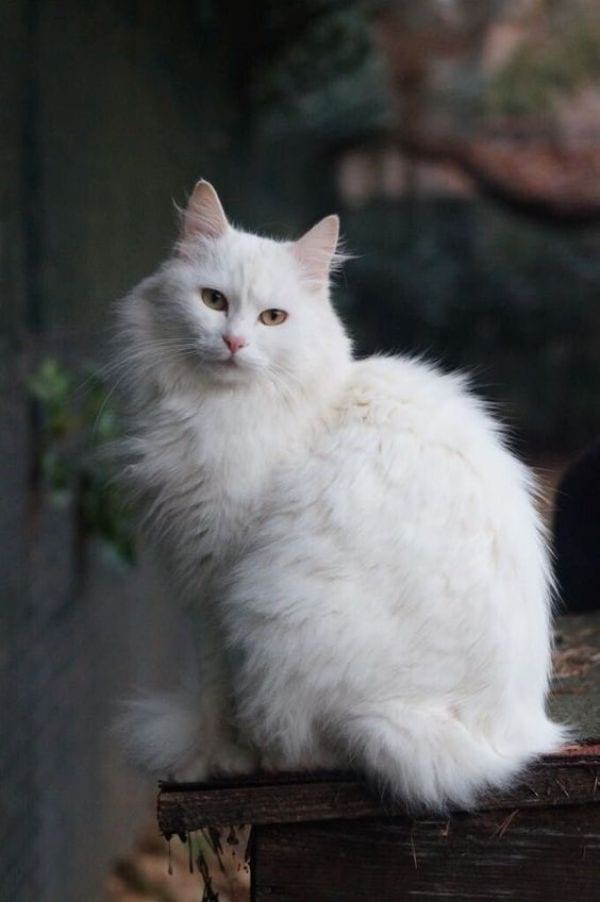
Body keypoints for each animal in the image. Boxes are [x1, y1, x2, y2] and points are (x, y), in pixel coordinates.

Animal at [116, 182, 568, 812]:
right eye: (212, 300)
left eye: (273, 317)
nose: (233, 342)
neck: (221, 409)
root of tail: (501, 736)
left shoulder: (215, 583)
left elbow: (216, 693)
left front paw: (212, 764)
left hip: (274, 612)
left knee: (320, 747)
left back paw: (273, 757)